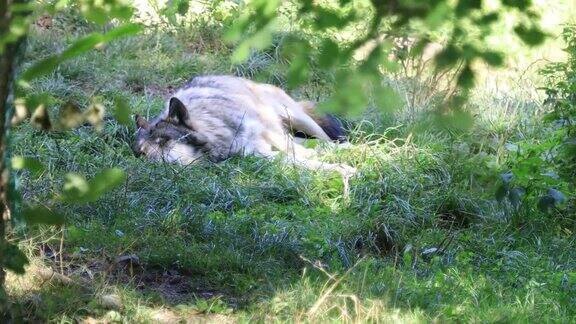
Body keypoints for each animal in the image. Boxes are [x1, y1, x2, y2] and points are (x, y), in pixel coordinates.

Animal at [134, 75, 356, 177]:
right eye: (141, 153)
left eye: (163, 141)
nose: (148, 166)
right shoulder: (257, 154)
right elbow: (295, 159)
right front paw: (340, 169)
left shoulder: (263, 126)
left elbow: (294, 150)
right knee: (308, 142)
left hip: (294, 117)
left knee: (325, 139)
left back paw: (353, 148)